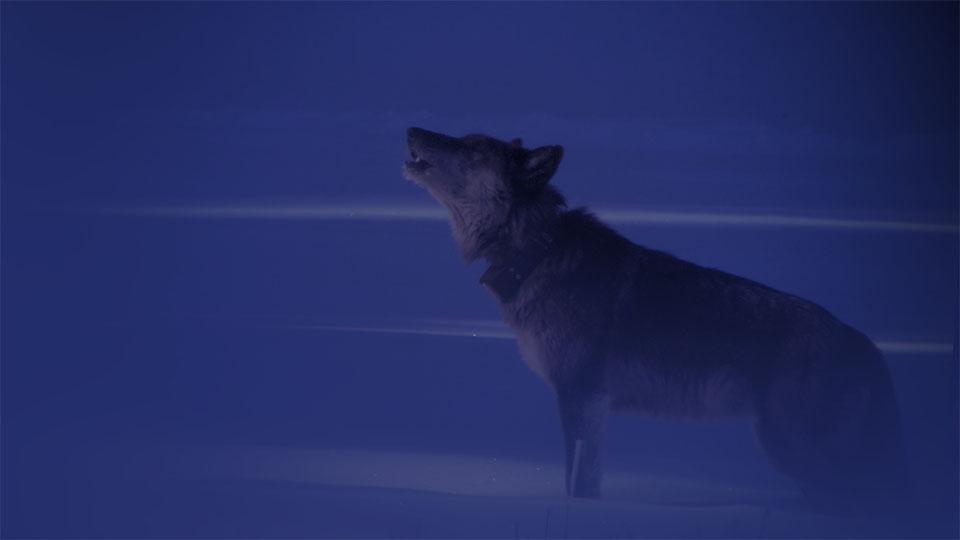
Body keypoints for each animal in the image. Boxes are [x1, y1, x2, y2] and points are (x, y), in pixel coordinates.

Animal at [402, 124, 912, 512]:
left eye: (472, 146)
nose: (411, 128)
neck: (536, 251)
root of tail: (868, 346)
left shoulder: (581, 397)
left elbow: (579, 485)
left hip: (792, 449)